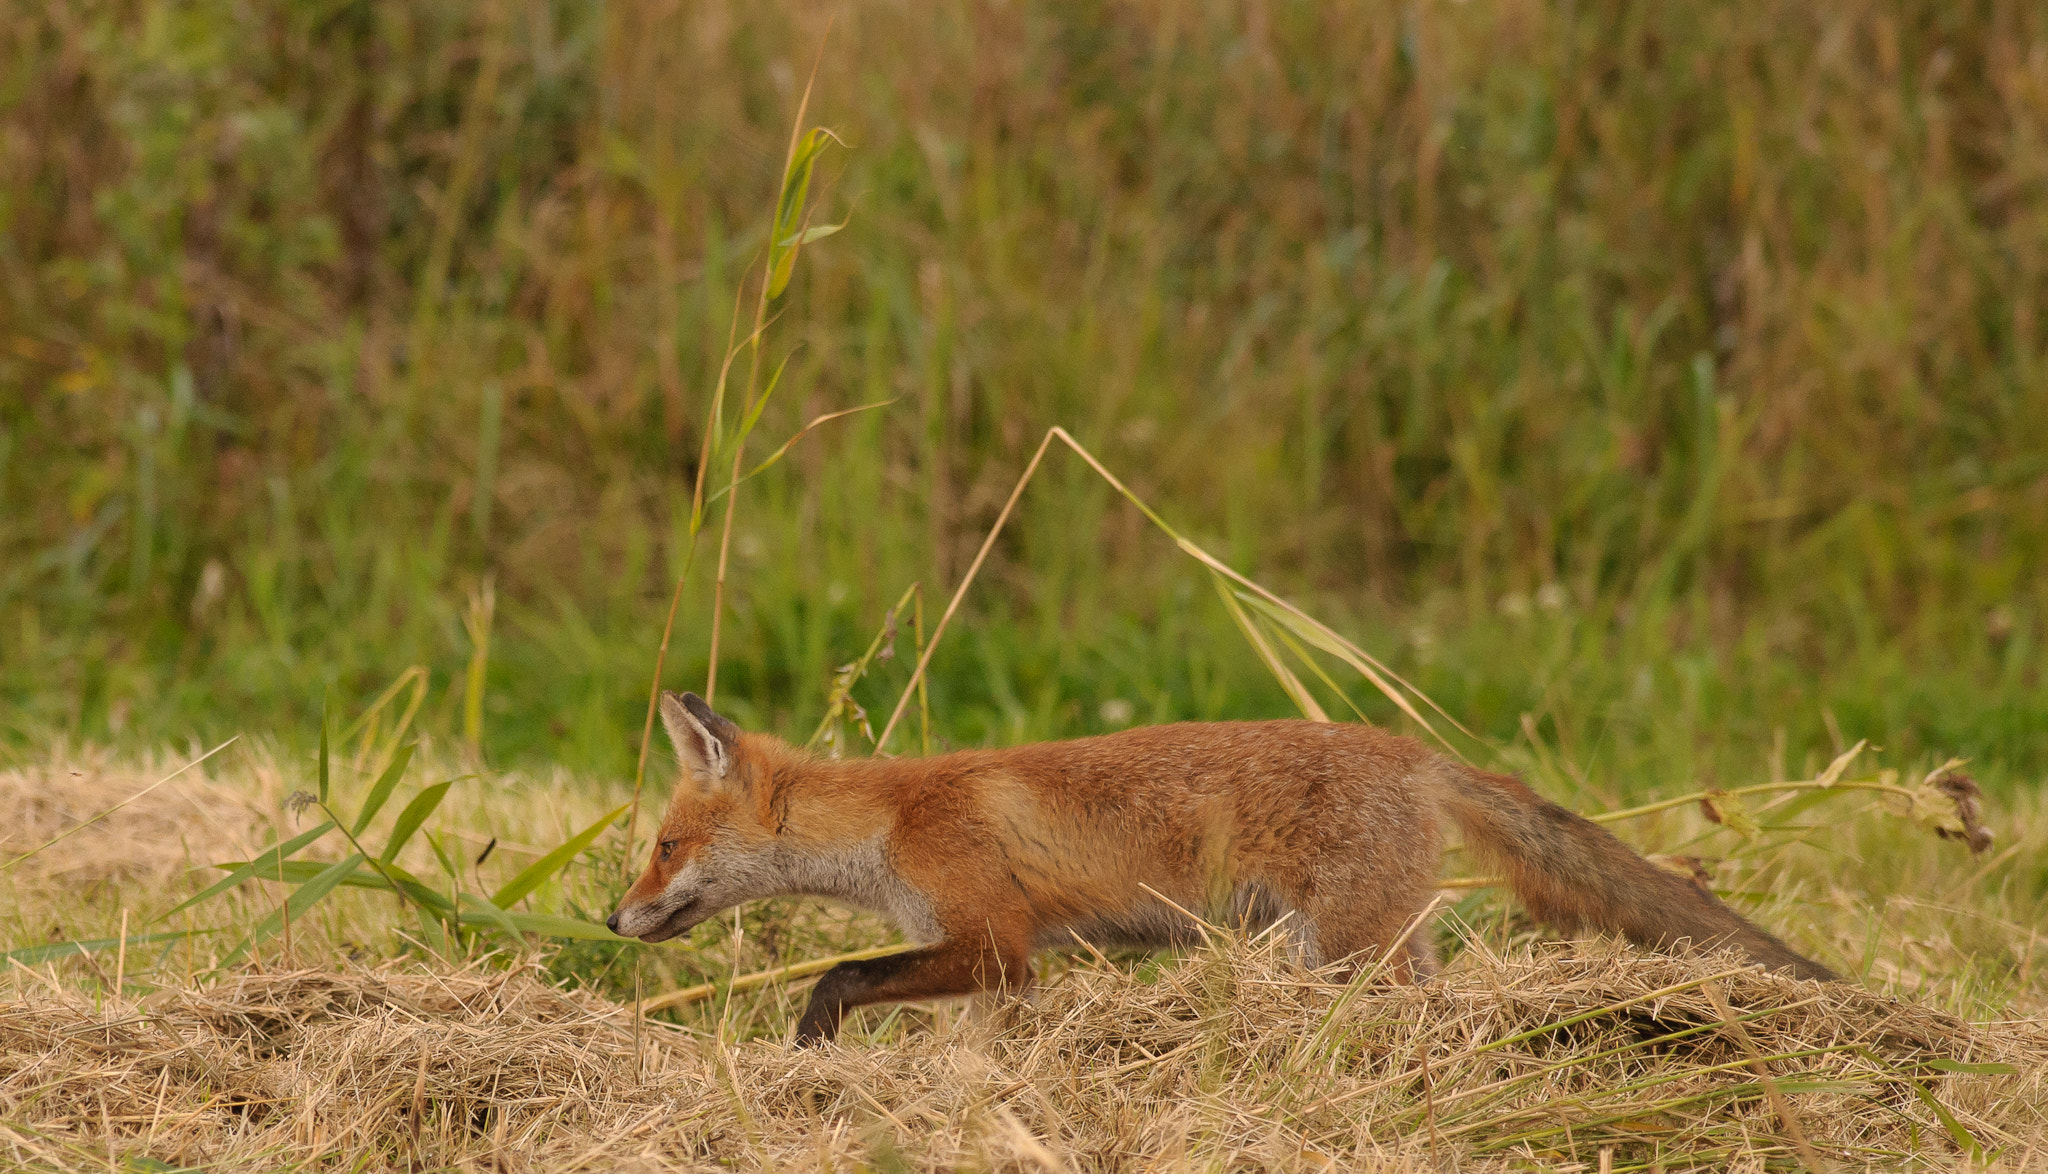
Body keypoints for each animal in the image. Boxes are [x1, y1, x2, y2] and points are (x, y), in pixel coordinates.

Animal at [609, 690, 1838, 1044]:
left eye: (663, 846)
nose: (615, 919)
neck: (893, 819)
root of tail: (1412, 750)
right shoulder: (994, 964)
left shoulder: (993, 941)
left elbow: (841, 975)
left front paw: (809, 1043)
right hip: (1364, 943)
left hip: (1345, 947)